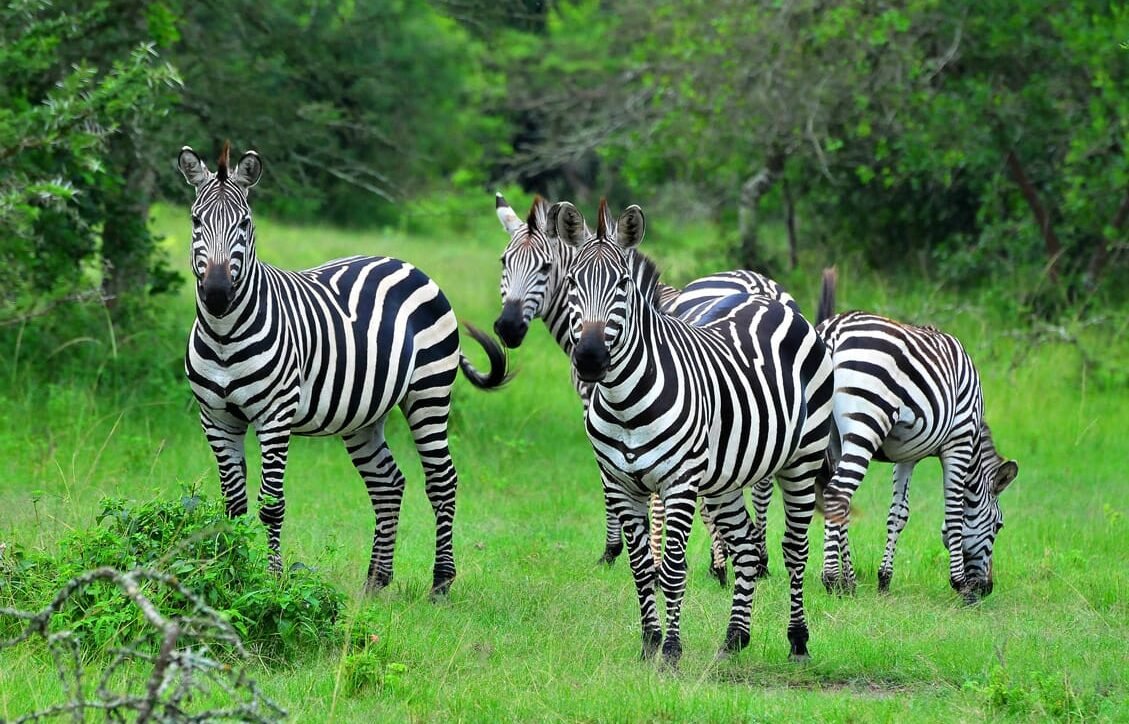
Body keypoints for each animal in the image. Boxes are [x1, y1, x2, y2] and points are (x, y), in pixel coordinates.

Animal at [177, 143, 510, 595]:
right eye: (196, 220)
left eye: (245, 223)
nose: (215, 293)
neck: (224, 334)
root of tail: (407, 264)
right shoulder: (215, 418)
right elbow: (233, 506)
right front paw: (230, 574)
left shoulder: (275, 417)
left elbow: (271, 505)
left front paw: (272, 582)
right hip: (364, 415)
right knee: (388, 483)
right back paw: (376, 580)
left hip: (429, 393)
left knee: (442, 481)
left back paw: (441, 582)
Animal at [493, 193, 793, 583]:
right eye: (504, 262)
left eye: (545, 268)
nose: (508, 328)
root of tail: (760, 287)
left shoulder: (602, 407)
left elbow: (620, 487)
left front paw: (616, 550)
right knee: (762, 480)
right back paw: (760, 558)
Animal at [556, 199, 833, 664]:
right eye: (573, 283)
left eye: (623, 285)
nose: (590, 359)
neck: (623, 402)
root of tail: (772, 300)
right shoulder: (620, 484)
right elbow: (640, 568)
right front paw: (649, 643)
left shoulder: (679, 483)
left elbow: (670, 569)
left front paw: (671, 650)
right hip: (725, 479)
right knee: (745, 546)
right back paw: (734, 638)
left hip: (802, 460)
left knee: (795, 550)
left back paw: (798, 640)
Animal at [815, 268, 1018, 600]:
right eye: (999, 526)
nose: (987, 588)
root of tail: (833, 330)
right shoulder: (959, 441)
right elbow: (954, 511)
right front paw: (960, 584)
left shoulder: (907, 455)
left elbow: (898, 514)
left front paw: (884, 579)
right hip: (866, 422)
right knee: (837, 492)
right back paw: (833, 580)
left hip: (829, 436)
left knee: (835, 496)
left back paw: (849, 580)